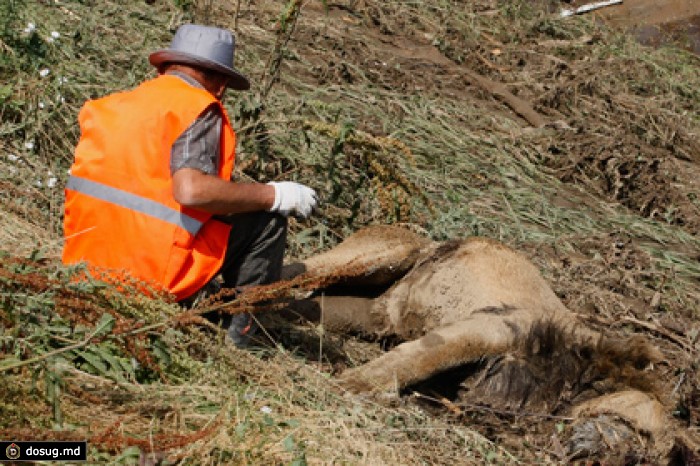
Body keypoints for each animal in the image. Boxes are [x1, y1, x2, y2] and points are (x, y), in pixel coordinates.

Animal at [278, 226, 688, 462]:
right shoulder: (488, 328)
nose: (615, 459)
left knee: (302, 304)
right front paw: (346, 386)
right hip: (383, 254)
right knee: (293, 270)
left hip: (362, 311)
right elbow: (415, 360)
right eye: (637, 433)